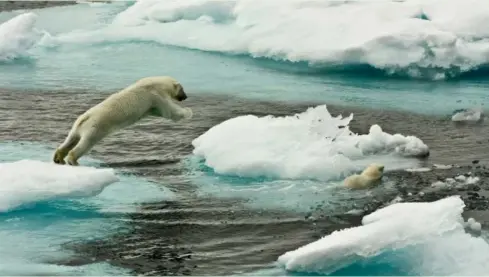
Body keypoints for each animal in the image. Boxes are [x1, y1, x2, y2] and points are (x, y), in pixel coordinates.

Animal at [53, 75, 191, 165]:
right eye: (182, 89)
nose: (186, 96)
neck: (156, 83)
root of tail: (84, 118)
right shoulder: (155, 95)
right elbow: (170, 111)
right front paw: (189, 112)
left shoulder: (151, 104)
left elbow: (158, 112)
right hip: (95, 128)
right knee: (85, 143)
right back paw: (73, 160)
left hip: (76, 128)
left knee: (70, 140)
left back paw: (58, 157)